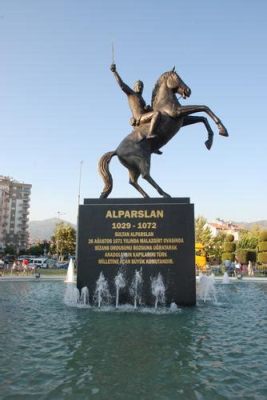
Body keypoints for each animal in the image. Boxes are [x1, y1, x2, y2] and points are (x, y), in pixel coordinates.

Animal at [98, 69, 228, 199]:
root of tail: (116, 150)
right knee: (145, 175)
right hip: (142, 159)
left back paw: (147, 196)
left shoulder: (182, 120)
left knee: (133, 181)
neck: (164, 103)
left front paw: (210, 141)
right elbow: (204, 107)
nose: (188, 91)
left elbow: (202, 118)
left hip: (133, 167)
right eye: (176, 77)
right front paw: (223, 131)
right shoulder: (177, 113)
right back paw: (165, 194)